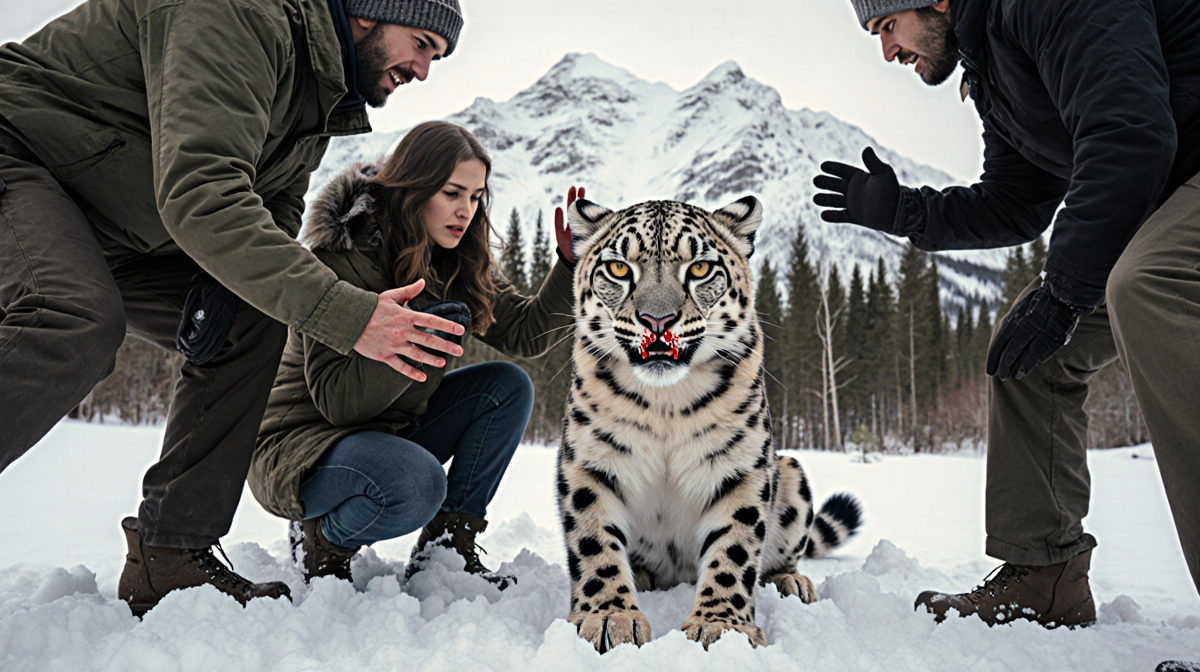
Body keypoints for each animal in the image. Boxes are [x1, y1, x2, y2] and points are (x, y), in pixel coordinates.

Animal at [556, 195, 862, 652]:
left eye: (700, 268)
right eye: (619, 269)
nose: (658, 320)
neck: (664, 406)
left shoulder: (740, 467)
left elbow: (734, 550)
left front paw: (721, 625)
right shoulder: (589, 461)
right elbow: (595, 542)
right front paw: (608, 617)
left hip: (791, 474)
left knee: (785, 553)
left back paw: (791, 582)